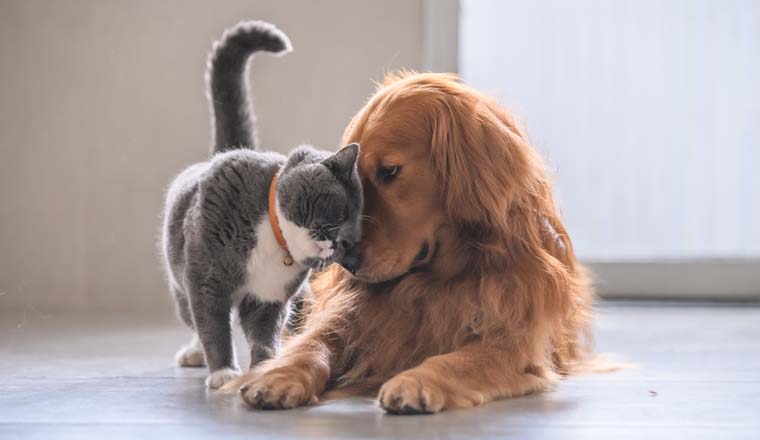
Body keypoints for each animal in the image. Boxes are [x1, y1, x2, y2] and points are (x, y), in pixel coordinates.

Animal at [160, 19, 362, 388]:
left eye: (354, 236)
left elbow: (264, 334)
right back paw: (195, 354)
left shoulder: (269, 297)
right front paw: (223, 372)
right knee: (192, 318)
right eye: (342, 213)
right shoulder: (206, 279)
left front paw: (264, 369)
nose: (340, 243)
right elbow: (212, 326)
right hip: (180, 279)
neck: (274, 240)